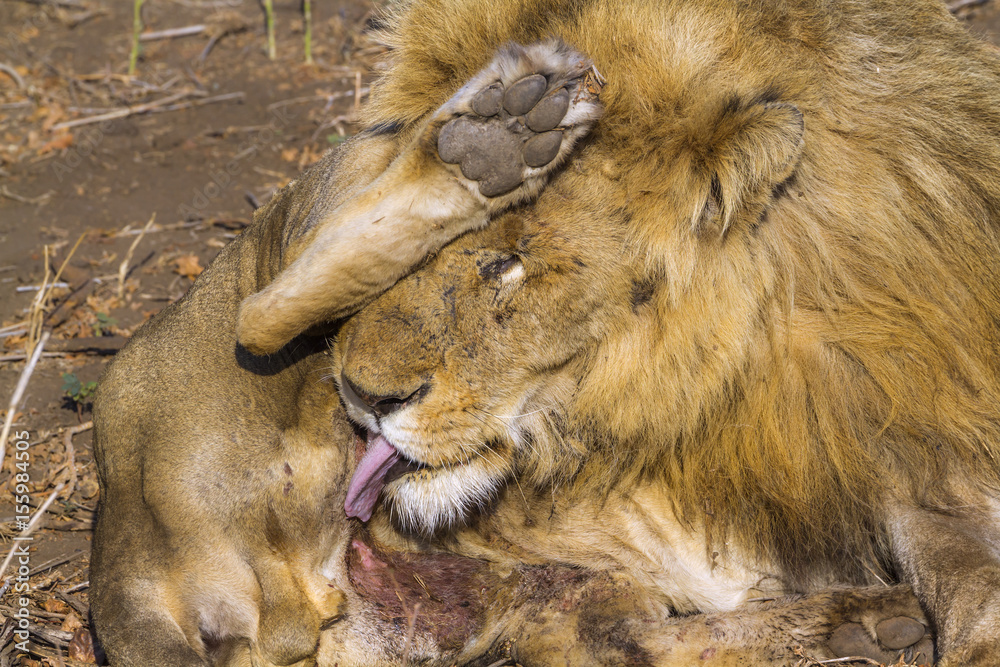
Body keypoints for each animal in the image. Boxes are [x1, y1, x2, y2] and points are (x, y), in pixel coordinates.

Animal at [90, 0, 1000, 663]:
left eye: (511, 265)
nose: (361, 395)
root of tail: (119, 541)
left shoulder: (918, 454)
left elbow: (973, 581)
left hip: (542, 600)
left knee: (622, 639)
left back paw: (859, 619)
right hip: (294, 236)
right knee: (268, 303)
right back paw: (498, 135)